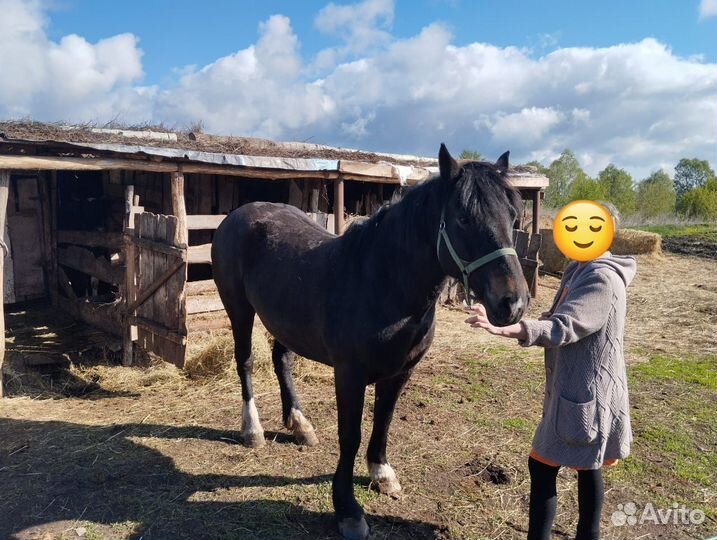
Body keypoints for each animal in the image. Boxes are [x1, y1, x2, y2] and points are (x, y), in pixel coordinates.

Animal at [211, 144, 529, 539]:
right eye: (463, 218)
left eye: (514, 217)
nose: (513, 304)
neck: (383, 283)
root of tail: (238, 215)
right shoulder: (350, 374)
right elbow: (351, 435)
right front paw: (347, 509)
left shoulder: (399, 373)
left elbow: (384, 421)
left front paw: (382, 474)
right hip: (238, 309)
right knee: (245, 361)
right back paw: (252, 430)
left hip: (285, 319)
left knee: (281, 359)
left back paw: (300, 425)